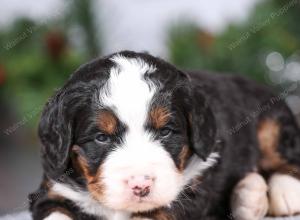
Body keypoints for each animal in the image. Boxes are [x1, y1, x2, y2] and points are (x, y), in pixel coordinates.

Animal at [29, 50, 300, 219]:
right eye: (101, 137)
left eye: (166, 132)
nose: (141, 185)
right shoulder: (53, 188)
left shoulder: (193, 186)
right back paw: (249, 195)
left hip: (271, 121)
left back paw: (283, 192)